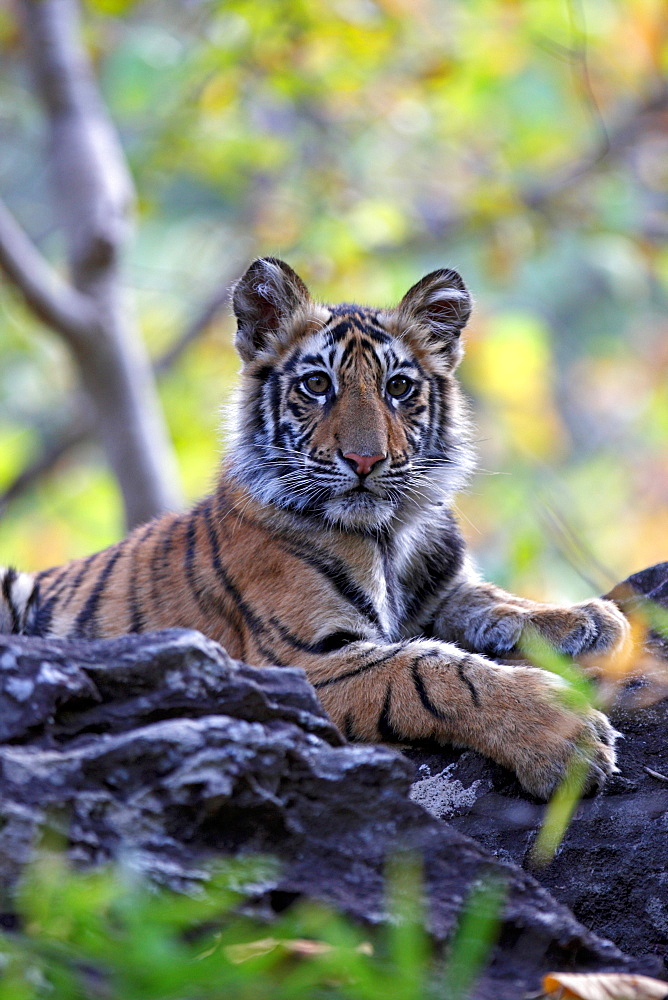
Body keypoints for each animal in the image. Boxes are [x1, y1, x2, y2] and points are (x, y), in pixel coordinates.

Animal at [2, 256, 632, 796]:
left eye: (398, 388)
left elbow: (490, 601)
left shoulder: (439, 593)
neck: (391, 536)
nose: (364, 460)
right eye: (316, 385)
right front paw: (566, 737)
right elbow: (435, 672)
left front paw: (587, 618)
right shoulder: (303, 662)